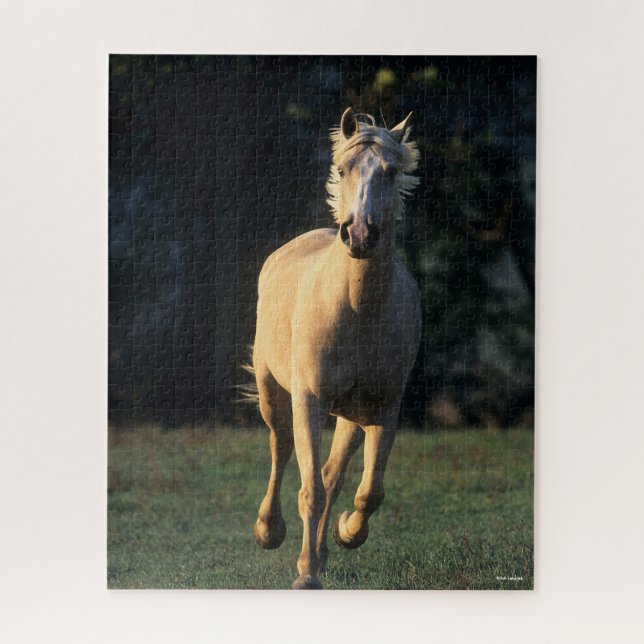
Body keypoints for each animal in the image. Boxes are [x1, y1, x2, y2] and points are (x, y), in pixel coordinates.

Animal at [251, 107, 422, 589]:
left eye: (391, 171)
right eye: (344, 169)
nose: (359, 234)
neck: (357, 308)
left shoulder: (383, 409)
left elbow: (368, 493)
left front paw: (346, 534)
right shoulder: (309, 400)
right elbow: (310, 489)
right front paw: (306, 577)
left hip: (350, 414)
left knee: (334, 474)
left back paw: (325, 550)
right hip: (273, 391)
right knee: (281, 447)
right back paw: (269, 531)